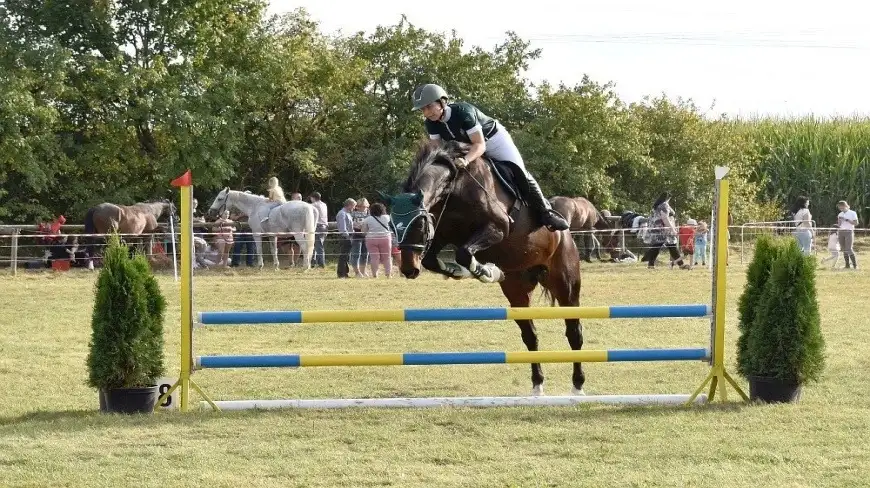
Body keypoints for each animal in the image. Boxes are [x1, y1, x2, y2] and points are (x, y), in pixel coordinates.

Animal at [384, 138, 588, 396]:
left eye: (419, 223)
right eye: (392, 225)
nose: (409, 269)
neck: (454, 187)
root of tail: (567, 235)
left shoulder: (497, 228)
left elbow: (463, 253)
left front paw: (486, 271)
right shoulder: (443, 235)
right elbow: (437, 259)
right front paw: (468, 271)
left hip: (565, 283)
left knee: (574, 332)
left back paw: (578, 386)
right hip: (517, 290)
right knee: (530, 335)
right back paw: (537, 384)